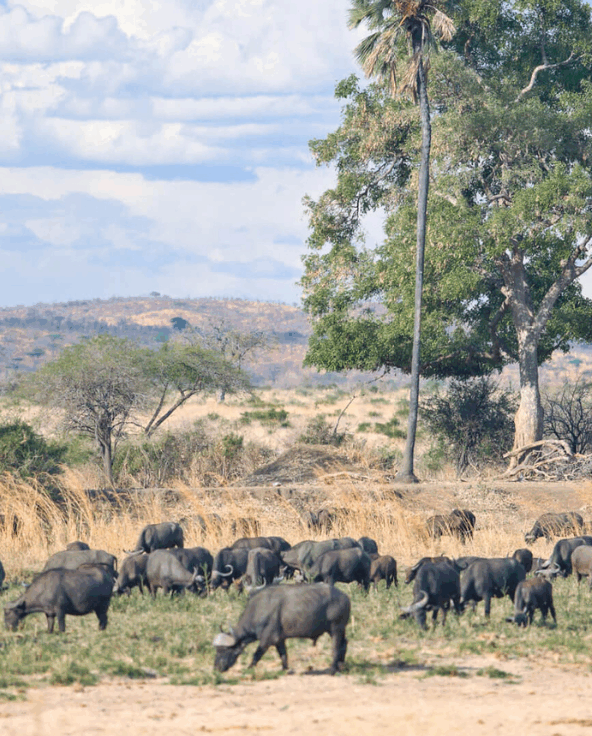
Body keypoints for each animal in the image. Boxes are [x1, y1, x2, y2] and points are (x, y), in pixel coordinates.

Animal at [212, 583, 350, 674]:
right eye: (217, 650)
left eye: (224, 650)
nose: (217, 668)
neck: (259, 609)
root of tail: (345, 597)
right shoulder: (279, 639)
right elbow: (283, 654)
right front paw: (284, 669)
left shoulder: (267, 639)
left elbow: (257, 654)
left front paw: (249, 668)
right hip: (340, 630)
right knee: (344, 643)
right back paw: (341, 666)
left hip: (335, 629)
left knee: (336, 647)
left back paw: (332, 669)